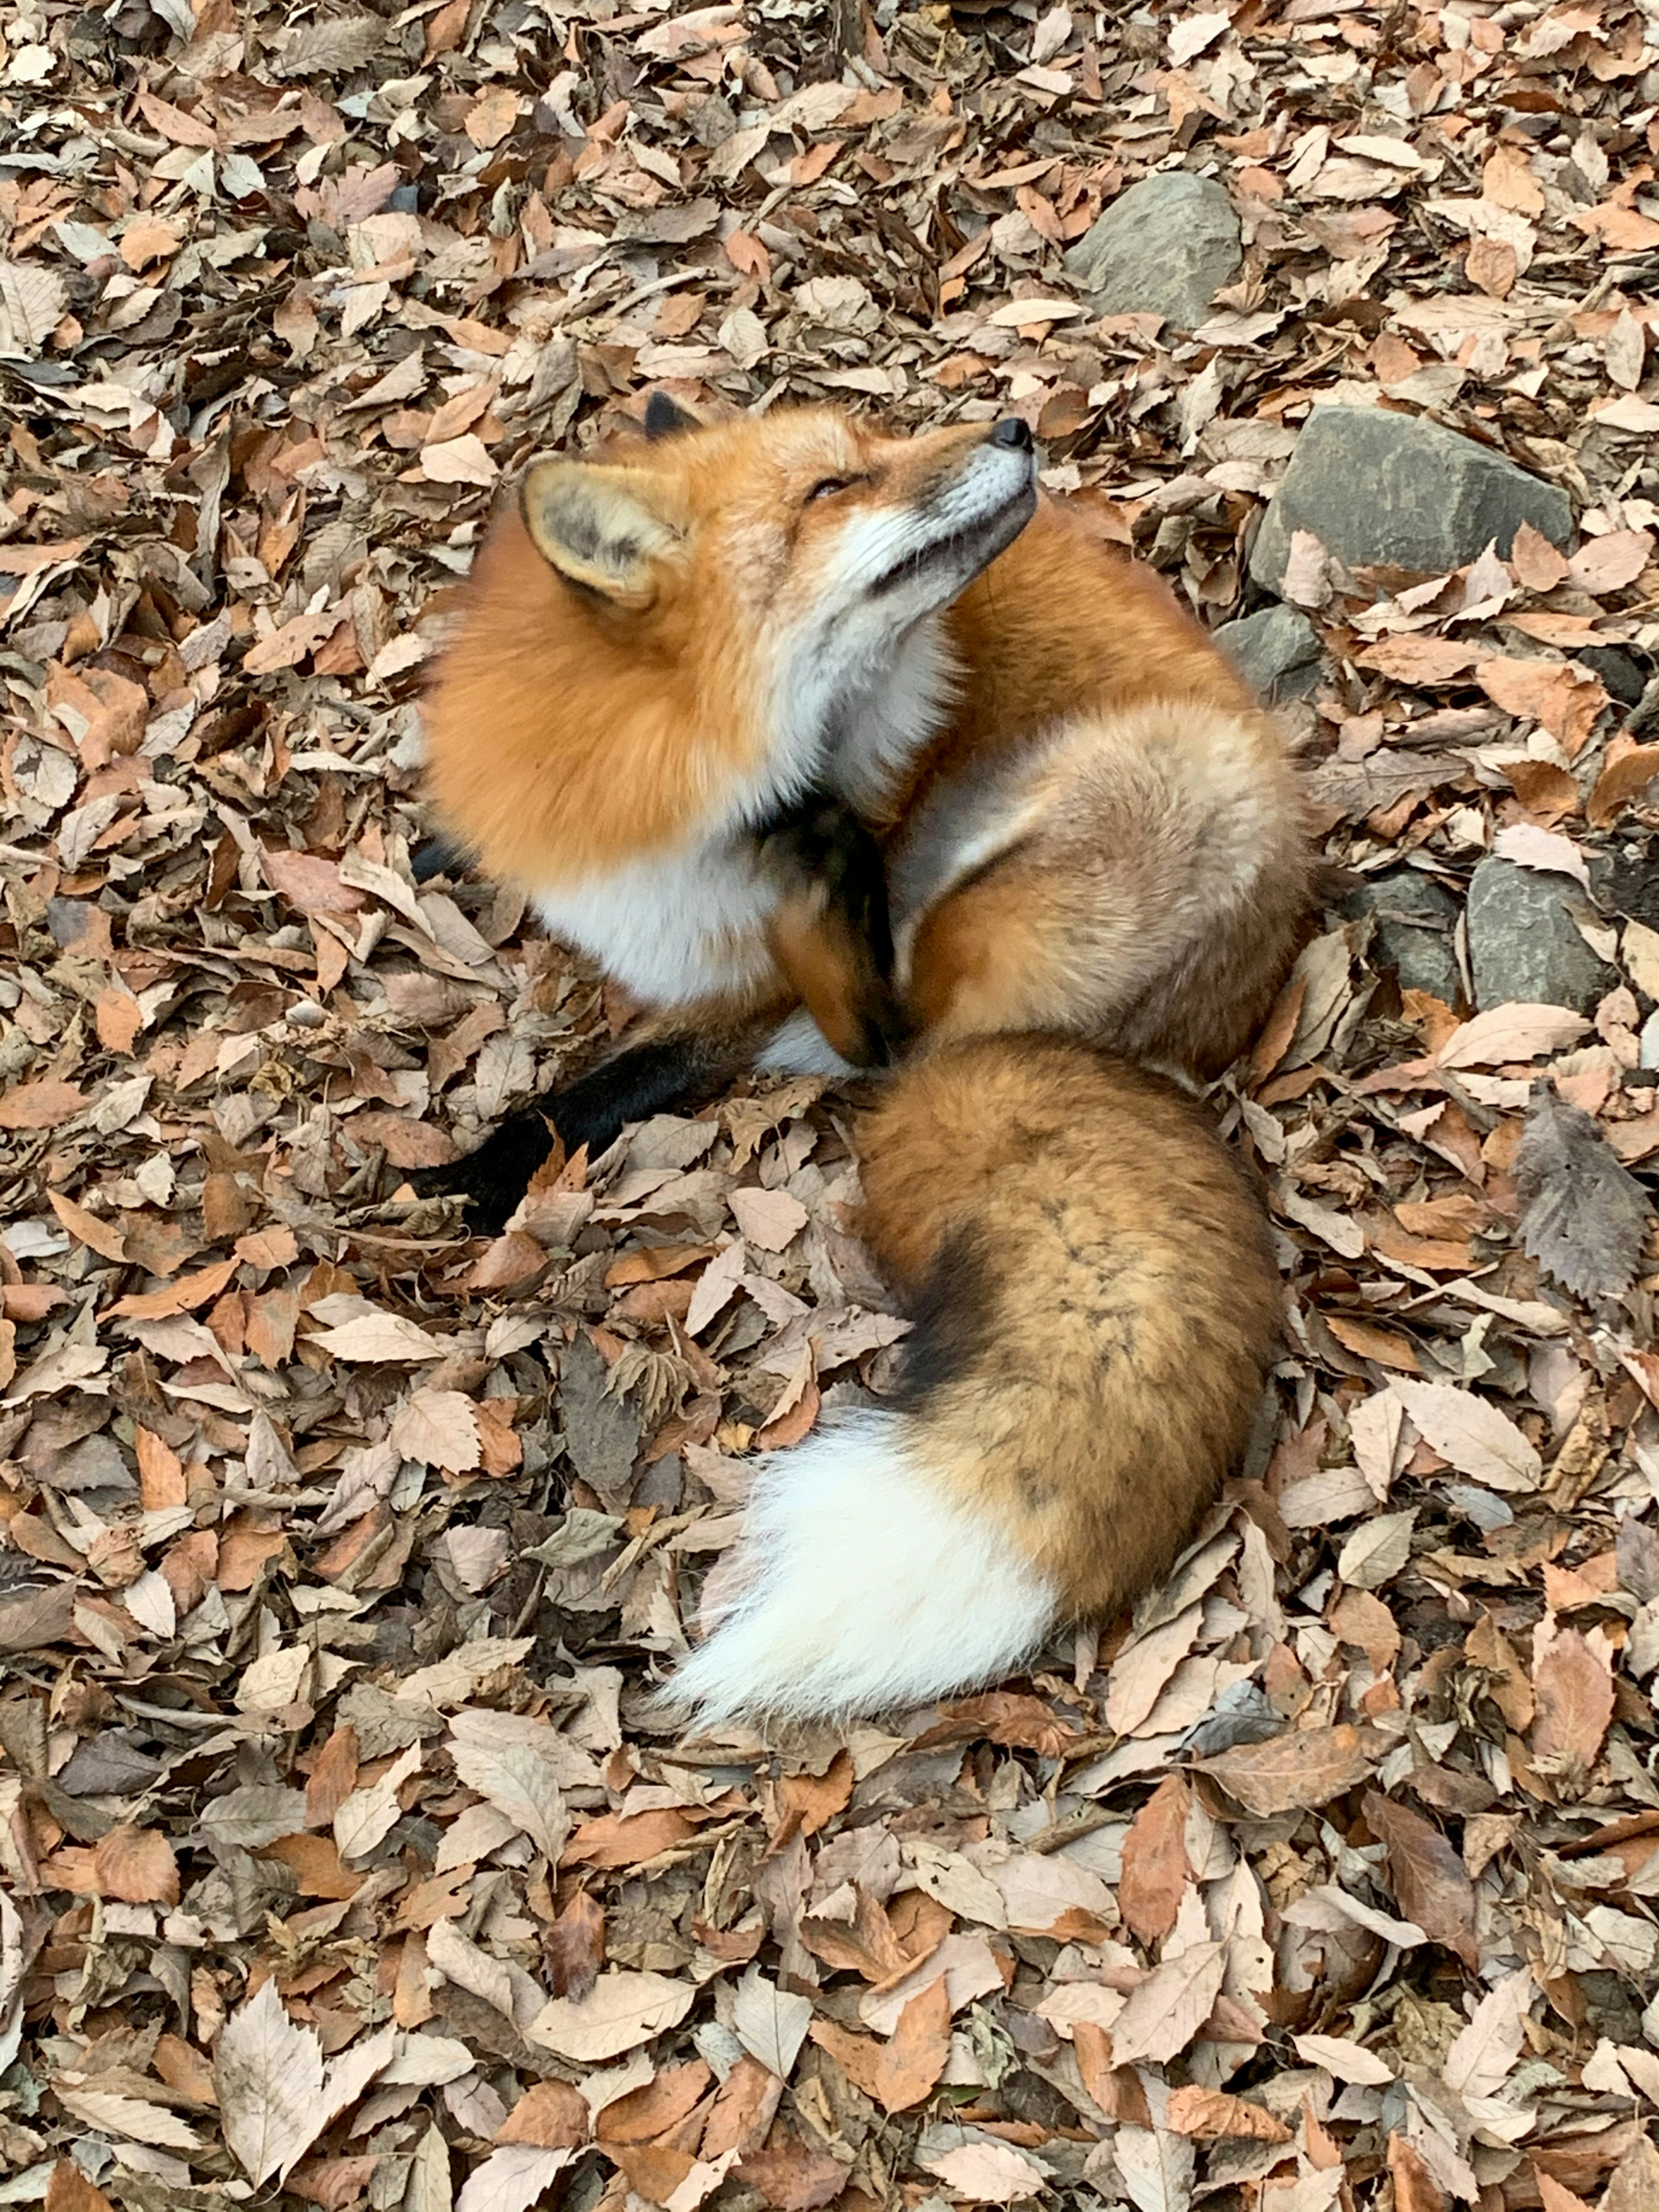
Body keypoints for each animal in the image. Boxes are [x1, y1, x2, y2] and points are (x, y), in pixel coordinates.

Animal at [418, 398, 1309, 1725]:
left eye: (859, 456)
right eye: (836, 483)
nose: (1015, 423)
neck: (657, 796)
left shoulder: (732, 995)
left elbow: (600, 1093)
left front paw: (472, 1175)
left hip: (1081, 827)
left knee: (884, 1034)